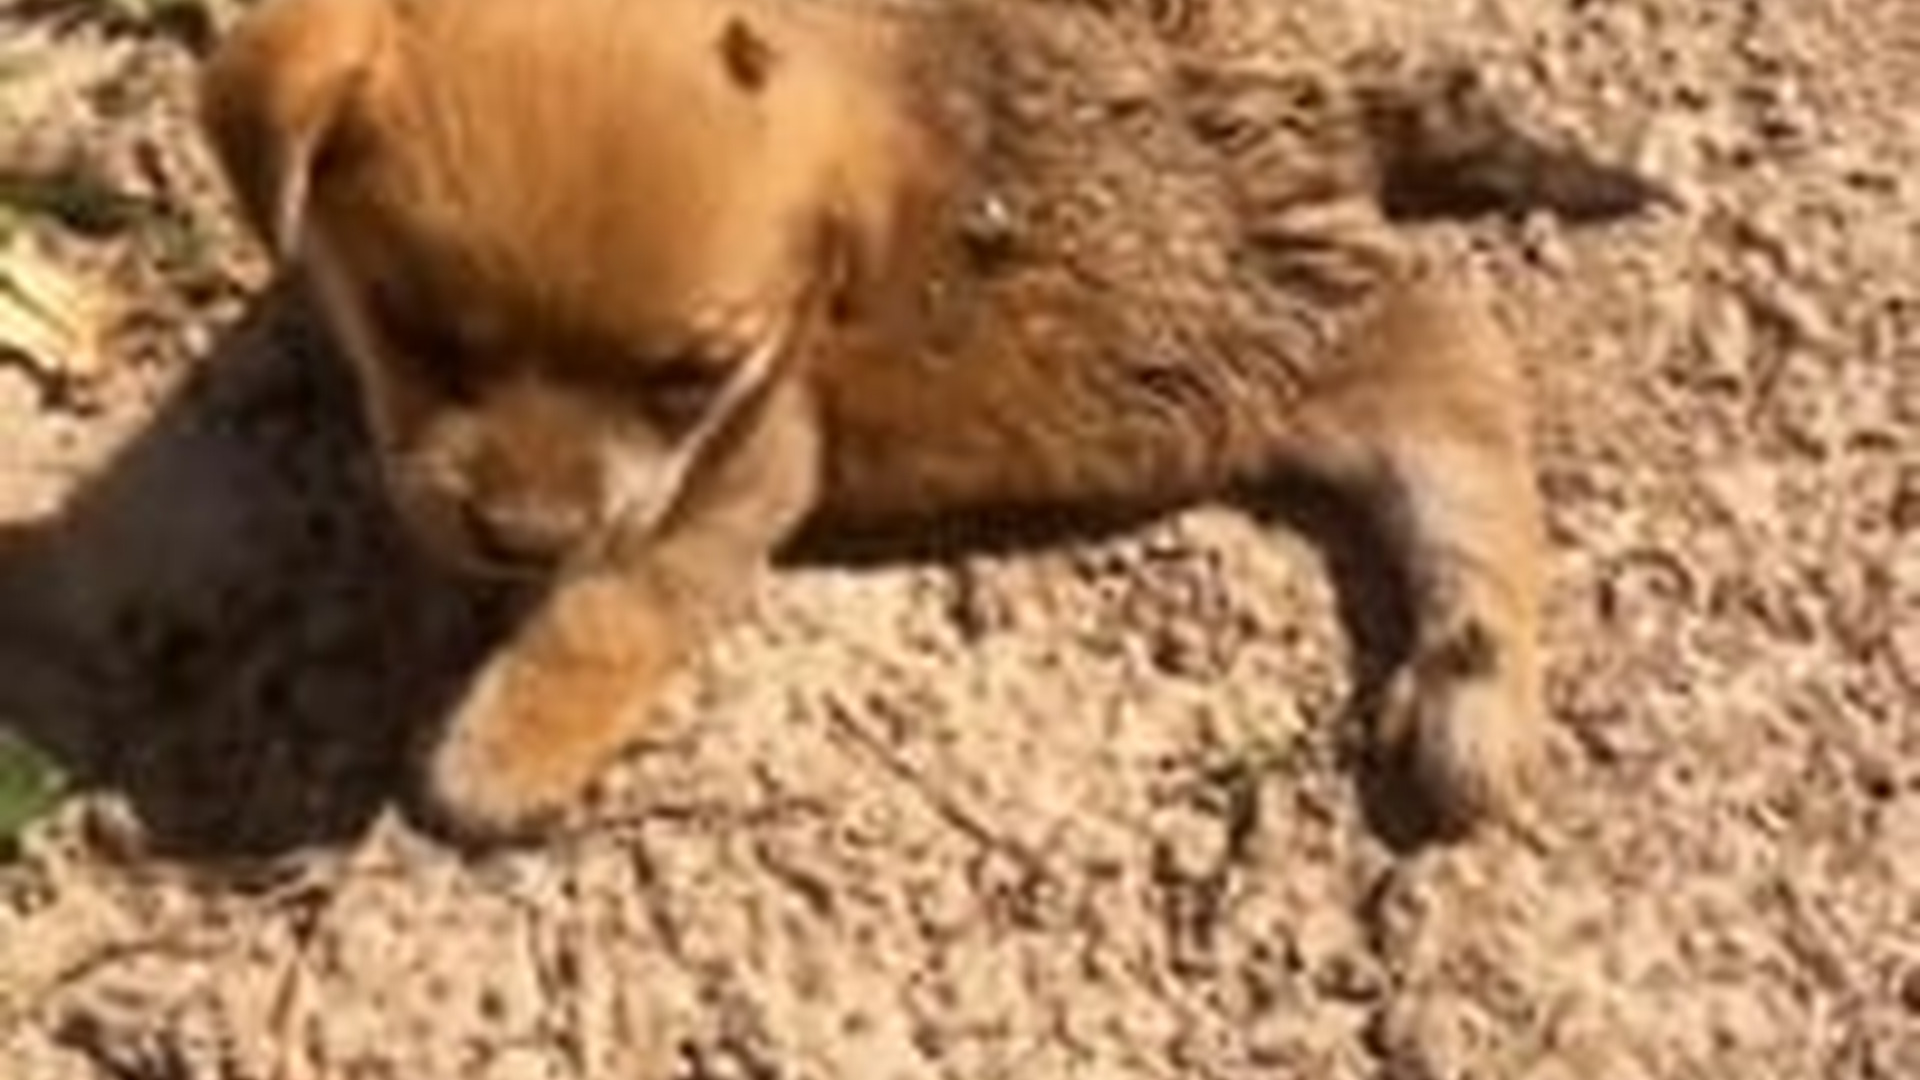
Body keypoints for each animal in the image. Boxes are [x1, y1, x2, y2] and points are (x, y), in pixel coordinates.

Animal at [200, 0, 1655, 843]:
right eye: (419, 331)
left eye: (687, 379)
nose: (517, 537)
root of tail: (1314, 106)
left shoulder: (745, 464)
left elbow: (619, 605)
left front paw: (501, 750)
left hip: (1269, 338)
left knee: (1460, 380)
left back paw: (1480, 681)